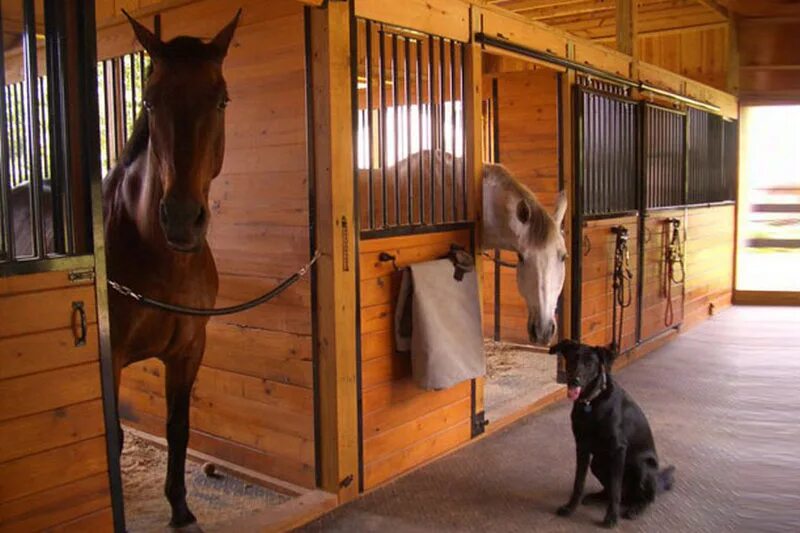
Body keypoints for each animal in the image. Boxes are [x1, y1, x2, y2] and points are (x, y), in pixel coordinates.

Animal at [103, 11, 241, 524]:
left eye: (221, 99)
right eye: (150, 100)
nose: (181, 218)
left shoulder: (188, 349)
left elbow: (178, 427)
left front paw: (181, 509)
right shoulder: (110, 358)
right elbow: (112, 440)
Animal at [548, 338, 672, 524]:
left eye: (590, 364)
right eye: (572, 360)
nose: (574, 381)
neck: (591, 402)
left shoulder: (618, 449)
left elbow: (615, 487)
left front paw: (611, 517)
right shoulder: (582, 447)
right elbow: (579, 482)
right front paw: (570, 508)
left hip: (642, 466)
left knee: (646, 498)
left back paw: (635, 509)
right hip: (597, 463)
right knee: (612, 491)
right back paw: (596, 497)